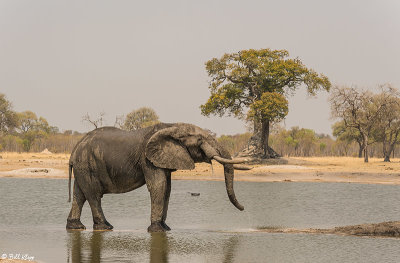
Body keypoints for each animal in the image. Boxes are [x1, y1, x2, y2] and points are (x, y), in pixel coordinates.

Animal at [65, 122, 247, 232]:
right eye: (200, 139)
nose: (244, 209)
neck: (172, 126)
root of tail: (74, 151)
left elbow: (167, 189)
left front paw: (165, 228)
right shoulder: (147, 159)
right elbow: (159, 186)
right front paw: (157, 230)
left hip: (83, 166)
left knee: (80, 194)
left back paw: (76, 227)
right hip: (87, 165)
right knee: (93, 195)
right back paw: (105, 227)